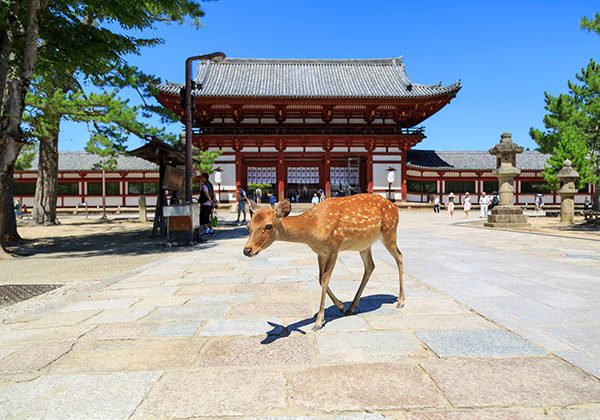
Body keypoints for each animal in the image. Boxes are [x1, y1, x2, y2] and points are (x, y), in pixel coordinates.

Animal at [241, 194, 406, 332]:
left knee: (399, 256)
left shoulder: (334, 247)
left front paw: (319, 322)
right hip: (364, 244)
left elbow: (325, 279)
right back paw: (352, 307)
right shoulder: (320, 252)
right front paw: (341, 306)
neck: (312, 228)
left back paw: (400, 301)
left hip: (389, 232)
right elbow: (320, 279)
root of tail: (395, 207)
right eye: (248, 226)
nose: (247, 250)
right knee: (370, 266)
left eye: (268, 226)